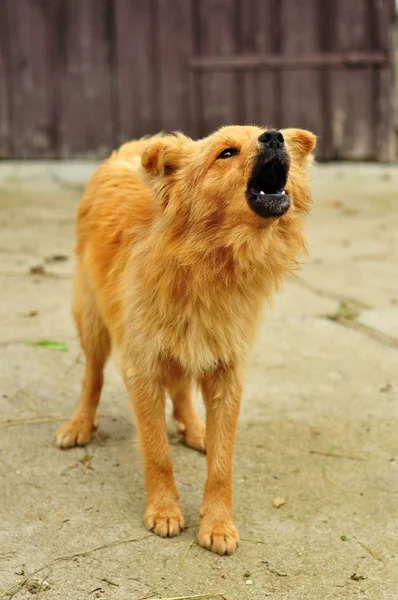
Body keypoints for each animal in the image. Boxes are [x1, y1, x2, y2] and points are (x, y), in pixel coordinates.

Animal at [56, 124, 318, 556]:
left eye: (270, 135)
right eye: (226, 152)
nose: (275, 137)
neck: (209, 261)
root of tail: (127, 152)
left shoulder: (227, 369)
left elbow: (222, 462)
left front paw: (218, 523)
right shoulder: (142, 367)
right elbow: (157, 452)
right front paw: (164, 510)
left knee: (180, 387)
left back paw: (195, 428)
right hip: (92, 320)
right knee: (92, 376)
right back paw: (79, 424)